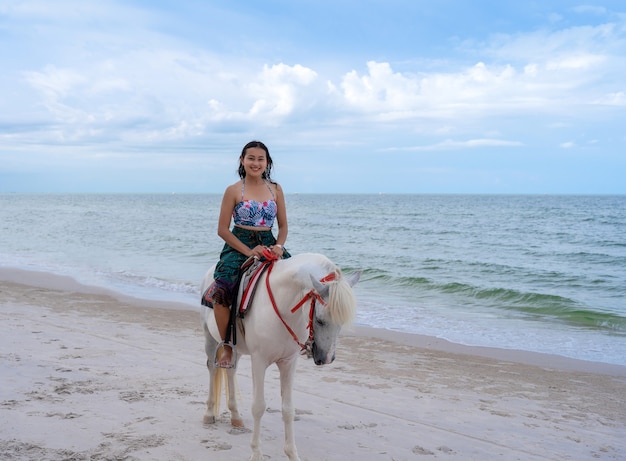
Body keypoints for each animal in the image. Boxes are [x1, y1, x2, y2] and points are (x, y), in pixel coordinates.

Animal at [197, 252, 358, 460]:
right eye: (320, 320)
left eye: (341, 323)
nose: (327, 358)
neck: (282, 303)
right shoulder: (259, 361)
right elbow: (258, 407)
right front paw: (256, 454)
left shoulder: (288, 362)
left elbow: (288, 409)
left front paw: (292, 454)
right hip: (209, 337)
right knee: (212, 368)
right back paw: (209, 413)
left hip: (235, 348)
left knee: (231, 371)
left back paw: (235, 416)